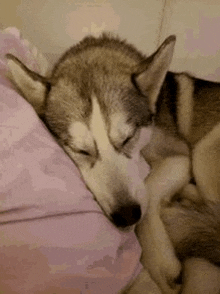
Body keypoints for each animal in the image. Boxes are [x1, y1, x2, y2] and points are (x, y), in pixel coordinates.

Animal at [5, 34, 220, 292]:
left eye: (128, 139)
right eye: (81, 150)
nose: (127, 215)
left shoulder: (179, 155)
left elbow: (149, 186)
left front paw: (159, 259)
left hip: (204, 151)